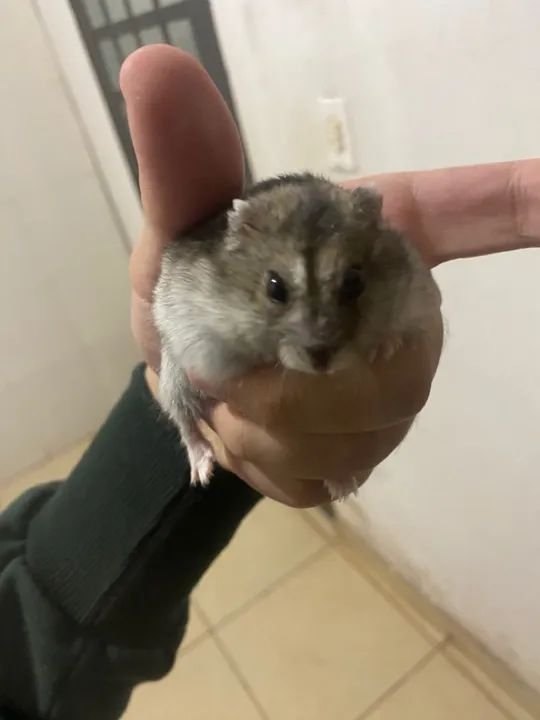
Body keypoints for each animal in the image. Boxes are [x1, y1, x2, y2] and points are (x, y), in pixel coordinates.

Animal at [153, 172, 440, 498]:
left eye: (355, 282)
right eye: (274, 287)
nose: (321, 360)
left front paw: (384, 347)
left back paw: (343, 488)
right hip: (173, 380)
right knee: (185, 421)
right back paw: (202, 471)